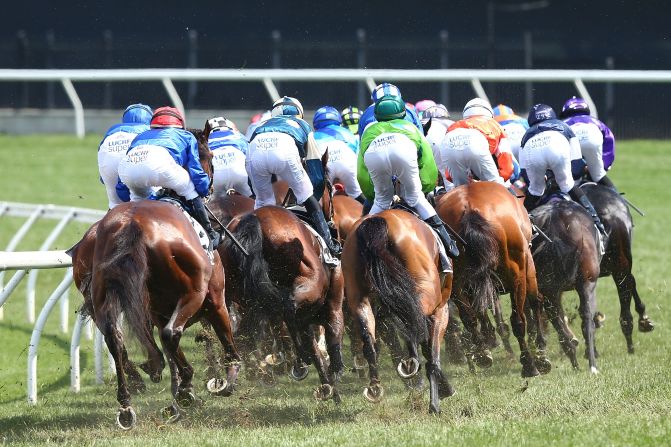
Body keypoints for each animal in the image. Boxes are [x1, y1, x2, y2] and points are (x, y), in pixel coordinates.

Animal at [68, 126, 240, 430]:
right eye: (208, 156)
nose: (210, 187)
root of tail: (132, 224)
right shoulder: (215, 299)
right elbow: (223, 336)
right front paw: (226, 379)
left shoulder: (157, 308)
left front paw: (181, 387)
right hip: (194, 292)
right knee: (171, 334)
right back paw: (174, 387)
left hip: (103, 296)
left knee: (117, 338)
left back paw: (129, 403)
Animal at [342, 212, 456, 414]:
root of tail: (378, 221)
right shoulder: (441, 309)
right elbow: (432, 354)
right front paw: (438, 399)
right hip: (427, 294)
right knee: (411, 316)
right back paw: (411, 362)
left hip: (358, 297)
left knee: (370, 340)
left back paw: (375, 387)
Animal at [436, 182, 544, 378]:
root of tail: (470, 208)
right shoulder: (527, 265)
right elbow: (535, 302)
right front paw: (541, 354)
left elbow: (480, 311)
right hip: (517, 273)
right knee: (518, 319)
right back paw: (530, 365)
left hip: (456, 281)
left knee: (469, 318)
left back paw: (482, 354)